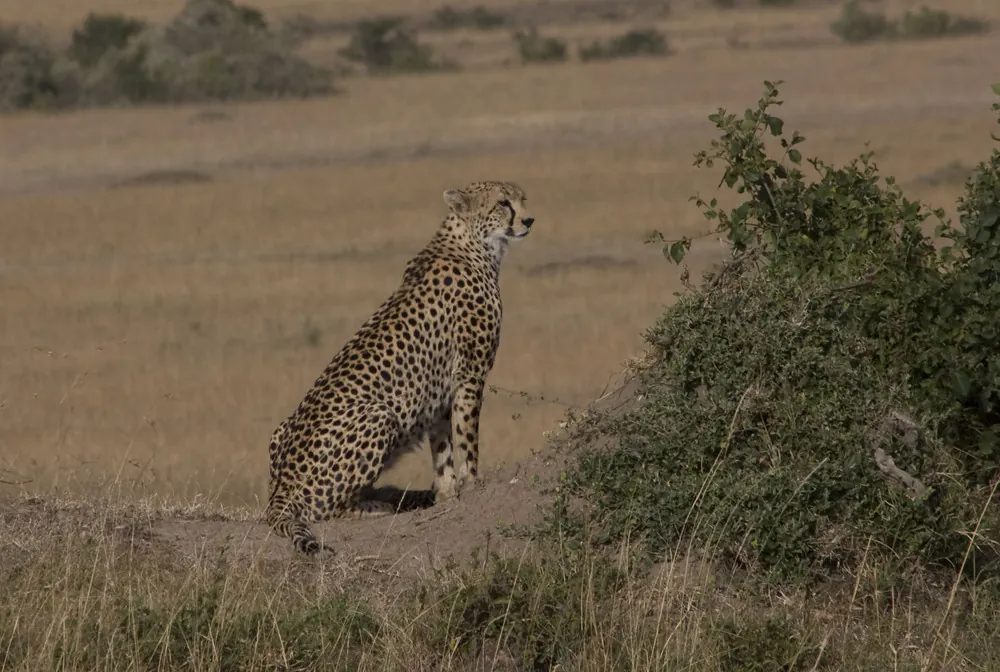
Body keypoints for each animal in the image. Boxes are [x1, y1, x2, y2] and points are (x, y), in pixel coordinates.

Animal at [266, 180, 535, 555]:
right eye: (502, 203)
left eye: (522, 198)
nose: (528, 220)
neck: (475, 243)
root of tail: (280, 489)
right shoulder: (470, 374)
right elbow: (467, 437)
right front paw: (472, 484)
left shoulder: (441, 389)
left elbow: (442, 445)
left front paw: (446, 493)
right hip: (379, 414)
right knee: (325, 509)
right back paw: (378, 505)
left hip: (279, 430)